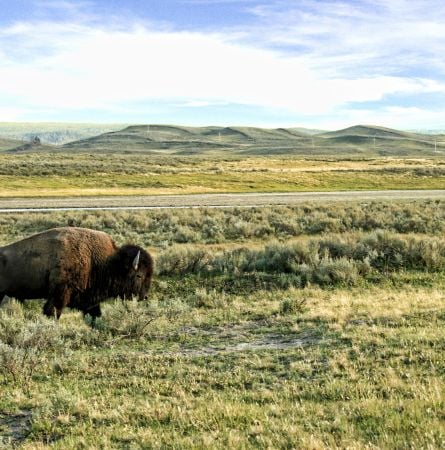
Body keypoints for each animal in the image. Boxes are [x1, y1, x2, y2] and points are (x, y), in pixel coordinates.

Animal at [0, 227, 154, 322]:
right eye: (139, 275)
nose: (145, 296)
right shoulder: (59, 295)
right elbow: (53, 312)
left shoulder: (89, 300)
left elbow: (95, 314)